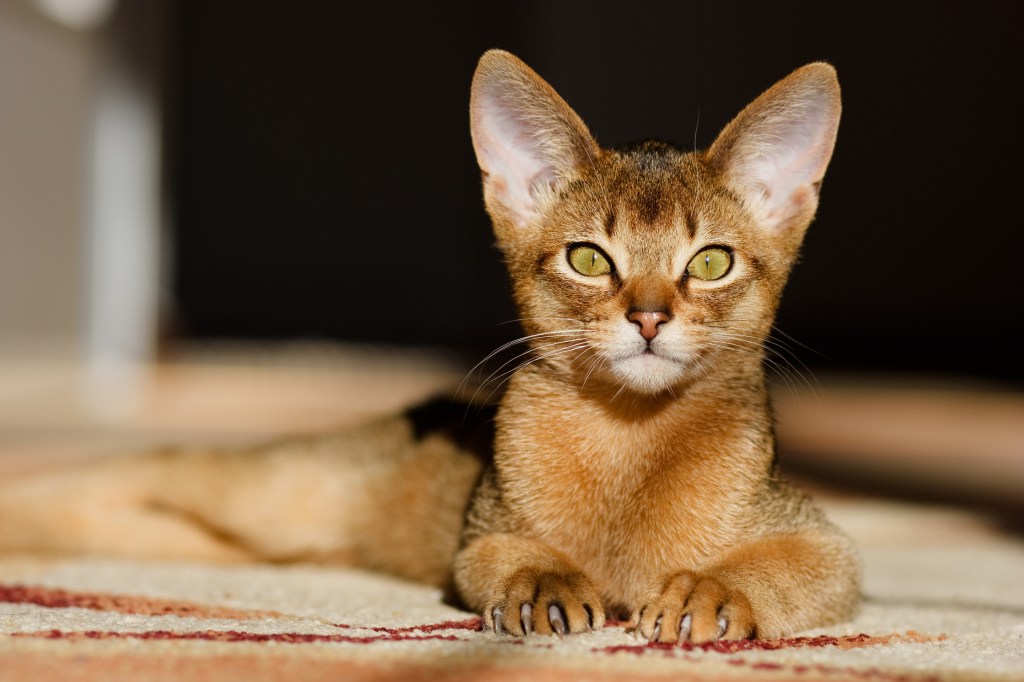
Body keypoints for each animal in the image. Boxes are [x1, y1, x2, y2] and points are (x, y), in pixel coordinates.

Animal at [0, 50, 860, 638]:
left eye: (710, 263)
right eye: (589, 258)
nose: (648, 319)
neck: (633, 446)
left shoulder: (830, 549)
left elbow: (784, 567)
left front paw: (713, 592)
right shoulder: (478, 539)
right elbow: (512, 557)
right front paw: (546, 584)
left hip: (237, 541)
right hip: (275, 491)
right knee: (139, 466)